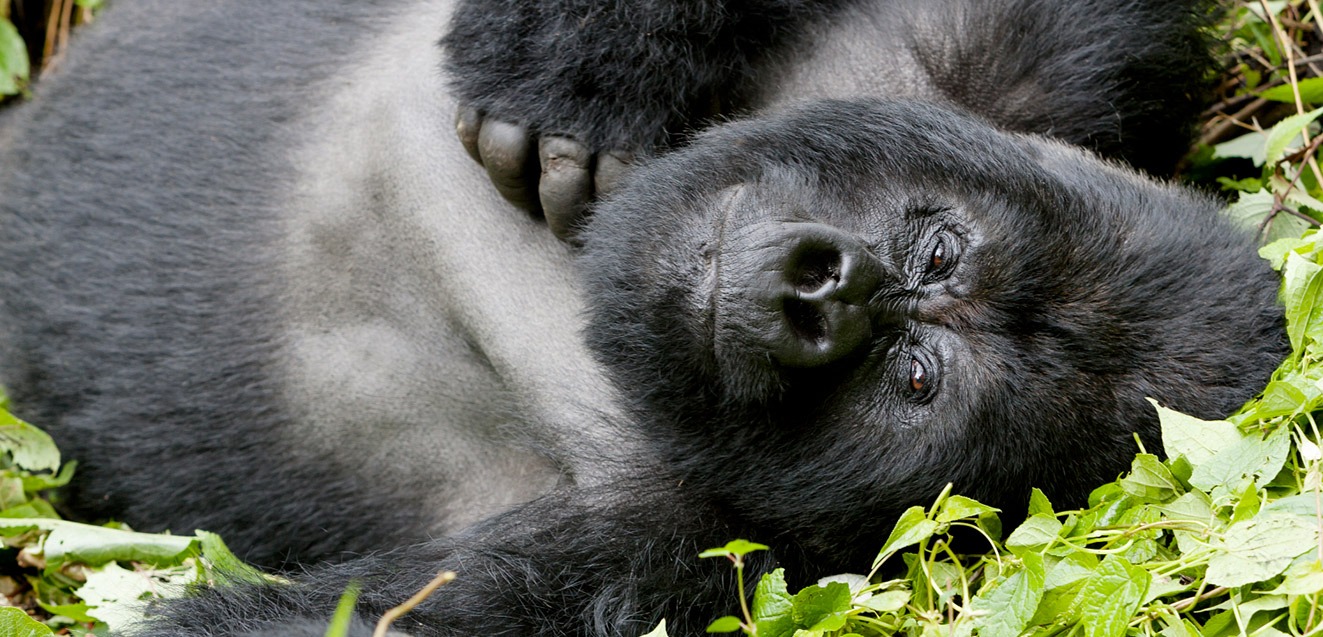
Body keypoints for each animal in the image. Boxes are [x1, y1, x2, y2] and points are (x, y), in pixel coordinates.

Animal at [0, 0, 1285, 630]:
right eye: (938, 248)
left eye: (915, 379)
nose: (822, 288)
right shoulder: (993, 68)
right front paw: (578, 61)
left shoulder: (671, 559)